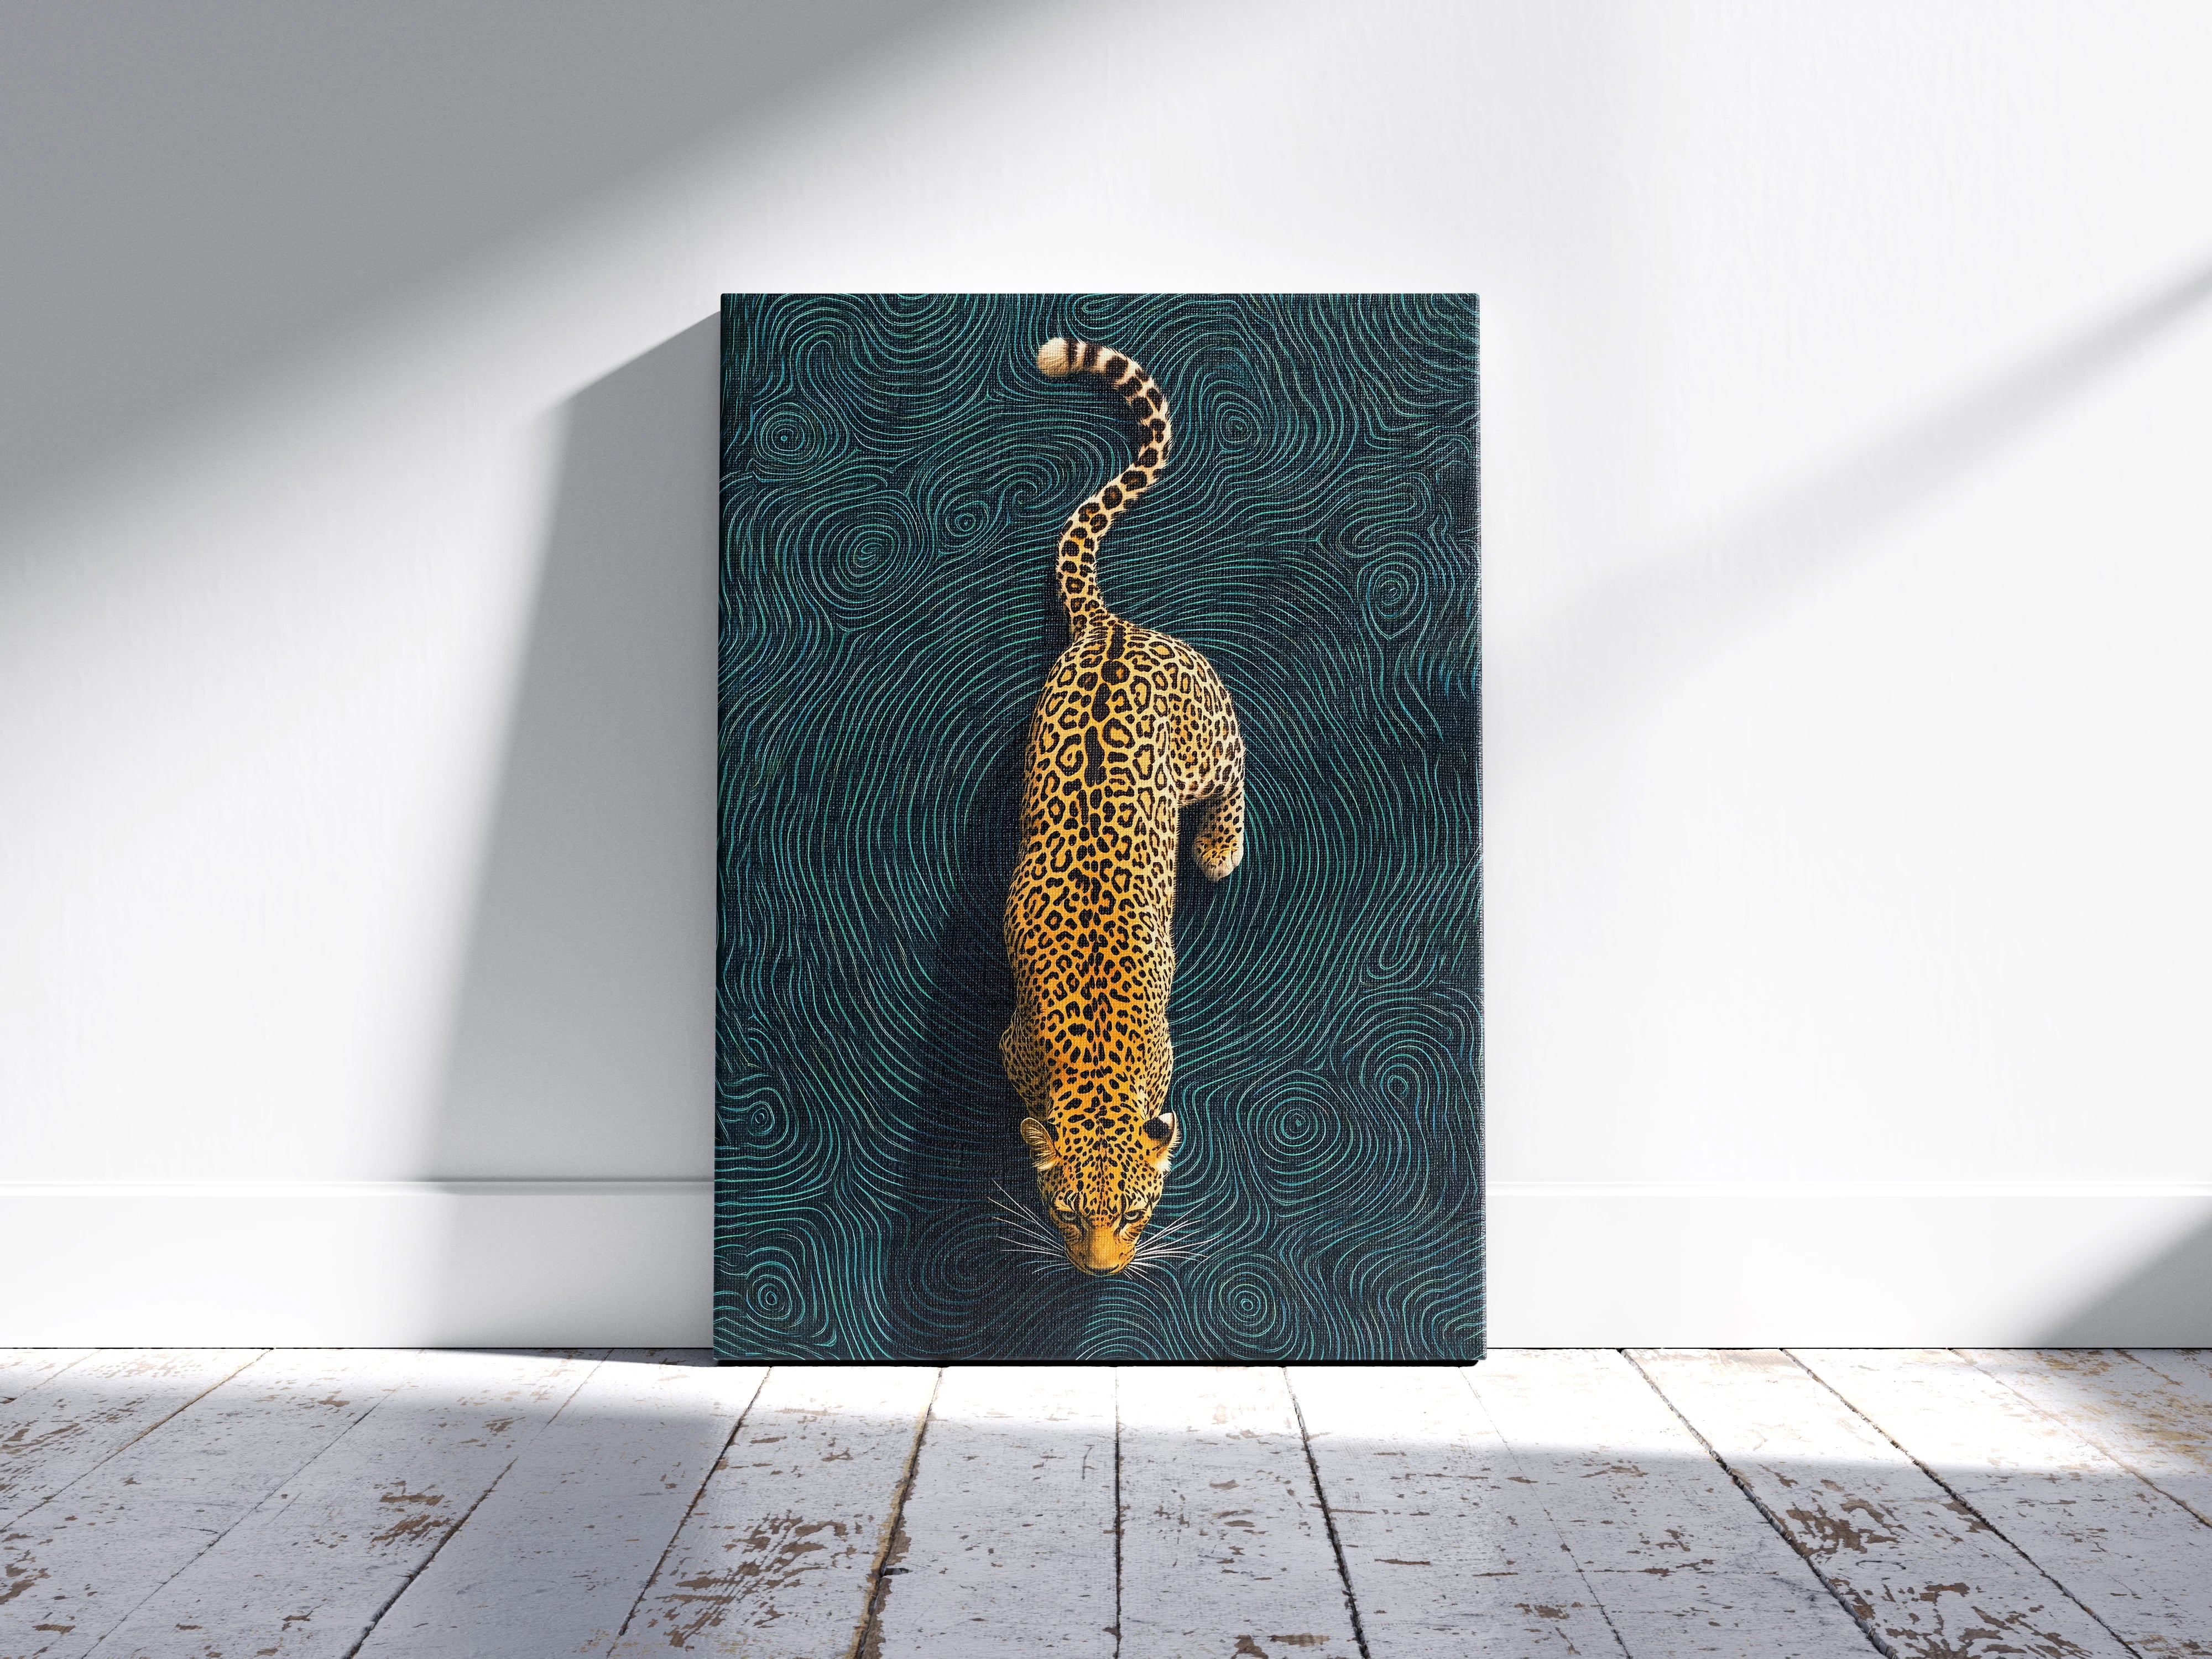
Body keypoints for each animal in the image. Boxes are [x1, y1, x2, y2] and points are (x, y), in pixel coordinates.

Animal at [1000, 335, 1247, 1277]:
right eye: (1067, 1213)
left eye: (1137, 1213)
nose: (1101, 1273)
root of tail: (1107, 628)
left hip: (1203, 743)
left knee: (1238, 760)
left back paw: (1219, 850)